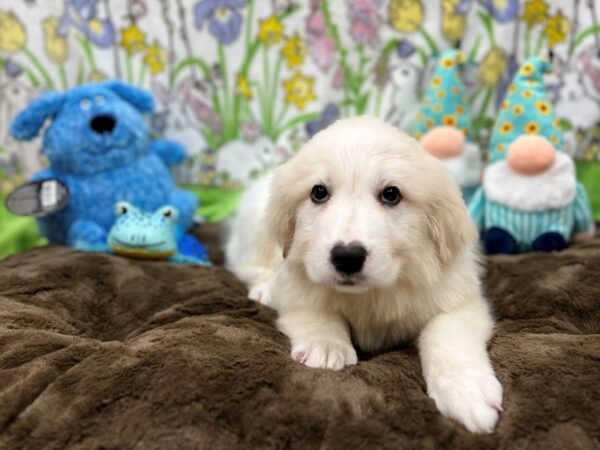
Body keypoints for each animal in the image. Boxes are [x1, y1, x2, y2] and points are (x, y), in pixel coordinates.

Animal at [225, 118, 502, 434]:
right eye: (319, 192)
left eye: (391, 194)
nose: (347, 256)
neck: (374, 293)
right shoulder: (298, 285)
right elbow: (316, 312)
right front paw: (326, 347)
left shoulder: (459, 301)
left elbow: (447, 335)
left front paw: (466, 391)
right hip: (256, 232)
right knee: (247, 265)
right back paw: (264, 289)